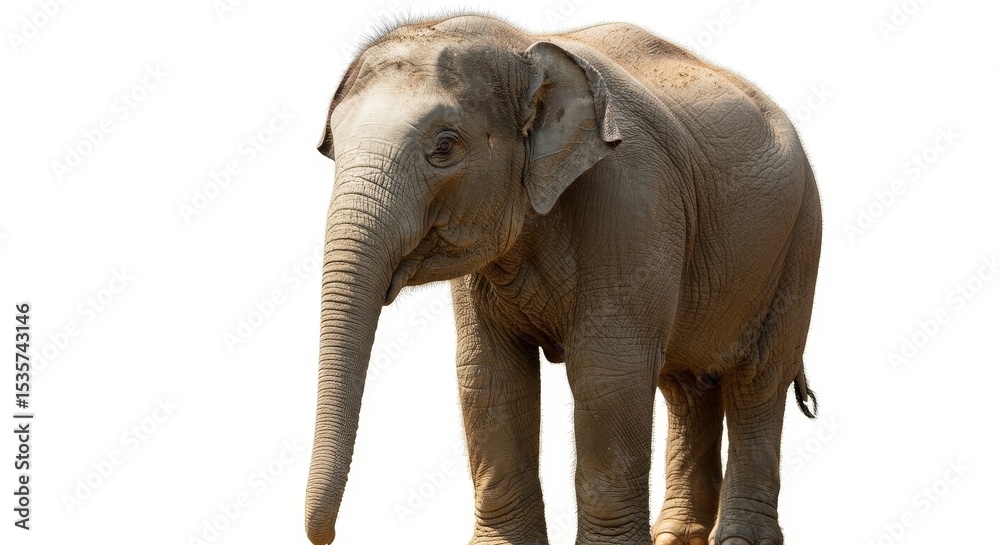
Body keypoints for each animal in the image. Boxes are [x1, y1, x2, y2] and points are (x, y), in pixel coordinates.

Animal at [304, 14, 821, 545]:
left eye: (444, 147)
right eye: (333, 149)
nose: (326, 535)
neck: (523, 48)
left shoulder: (634, 199)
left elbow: (607, 371)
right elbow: (489, 374)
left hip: (799, 241)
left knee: (759, 378)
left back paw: (739, 538)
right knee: (685, 385)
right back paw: (675, 536)